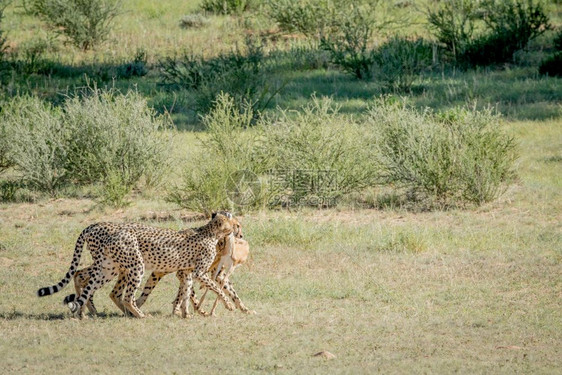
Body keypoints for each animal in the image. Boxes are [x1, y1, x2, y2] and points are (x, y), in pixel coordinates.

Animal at [36, 213, 234, 318]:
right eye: (233, 224)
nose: (236, 231)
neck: (210, 232)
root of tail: (93, 226)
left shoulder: (186, 272)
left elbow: (185, 292)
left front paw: (185, 314)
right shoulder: (199, 272)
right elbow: (217, 288)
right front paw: (228, 305)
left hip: (109, 268)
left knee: (85, 279)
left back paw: (84, 311)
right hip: (135, 266)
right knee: (125, 296)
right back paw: (139, 314)